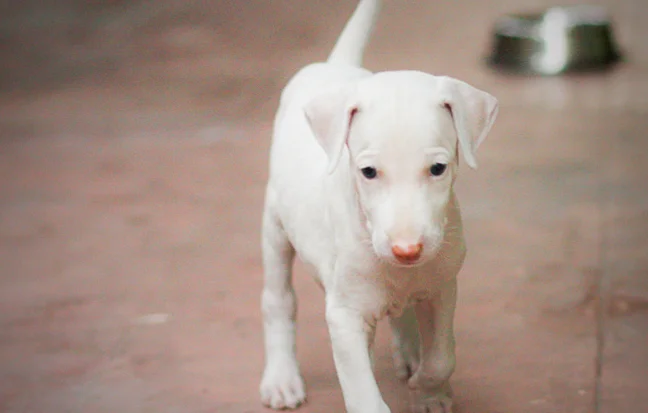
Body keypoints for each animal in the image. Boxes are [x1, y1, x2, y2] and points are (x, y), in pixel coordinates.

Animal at [260, 1, 498, 410]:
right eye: (368, 172)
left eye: (438, 168)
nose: (407, 251)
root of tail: (333, 65)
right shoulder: (345, 314)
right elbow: (365, 395)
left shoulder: (442, 287)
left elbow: (443, 356)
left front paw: (430, 389)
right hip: (275, 227)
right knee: (279, 301)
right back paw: (281, 379)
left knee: (401, 314)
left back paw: (410, 353)